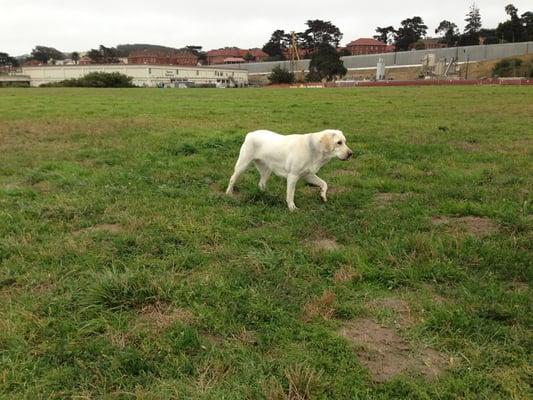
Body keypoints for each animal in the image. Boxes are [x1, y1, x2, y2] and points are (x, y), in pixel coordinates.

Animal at [225, 130, 354, 211]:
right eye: (339, 143)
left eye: (345, 141)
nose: (351, 154)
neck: (313, 148)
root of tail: (250, 134)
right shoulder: (293, 176)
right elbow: (290, 195)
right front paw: (292, 208)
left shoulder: (308, 175)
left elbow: (324, 184)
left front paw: (323, 196)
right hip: (242, 165)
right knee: (232, 178)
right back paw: (228, 193)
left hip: (267, 170)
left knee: (261, 183)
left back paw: (265, 194)